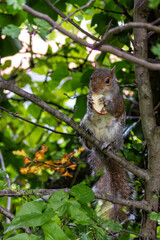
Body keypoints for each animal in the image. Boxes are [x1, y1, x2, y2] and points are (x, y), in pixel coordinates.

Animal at [80, 65, 131, 221]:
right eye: (91, 77)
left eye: (107, 80)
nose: (94, 89)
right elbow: (90, 110)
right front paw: (89, 101)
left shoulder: (118, 102)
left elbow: (115, 109)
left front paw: (107, 104)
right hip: (86, 122)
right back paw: (88, 138)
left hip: (115, 132)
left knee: (113, 143)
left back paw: (107, 145)